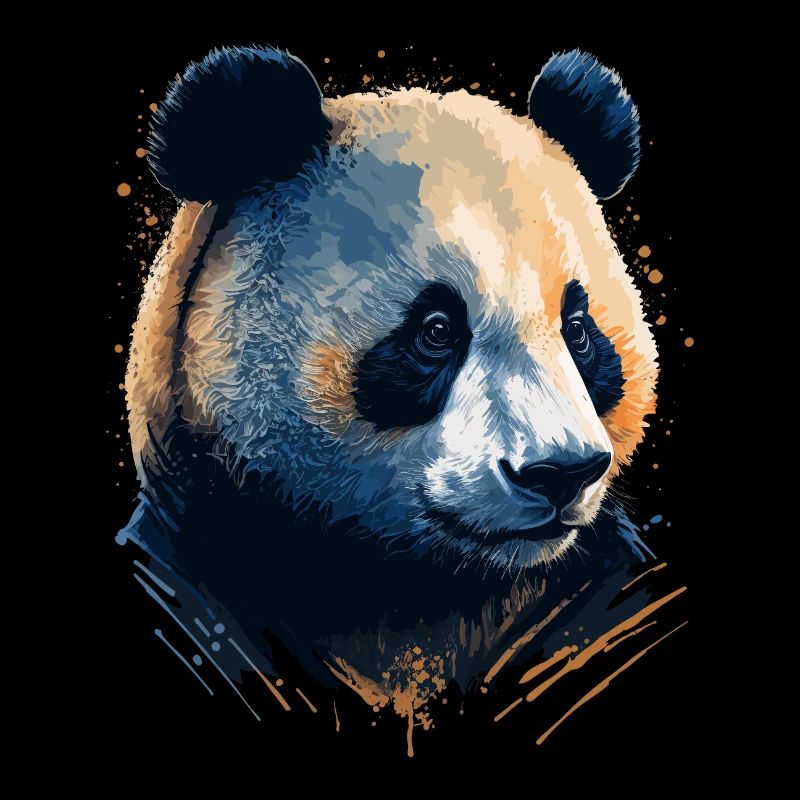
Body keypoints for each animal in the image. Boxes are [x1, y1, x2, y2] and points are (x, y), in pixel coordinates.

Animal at [117, 45, 675, 754]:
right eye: (436, 331)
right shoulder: (198, 564)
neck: (421, 590)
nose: (561, 473)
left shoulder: (591, 587)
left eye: (578, 329)